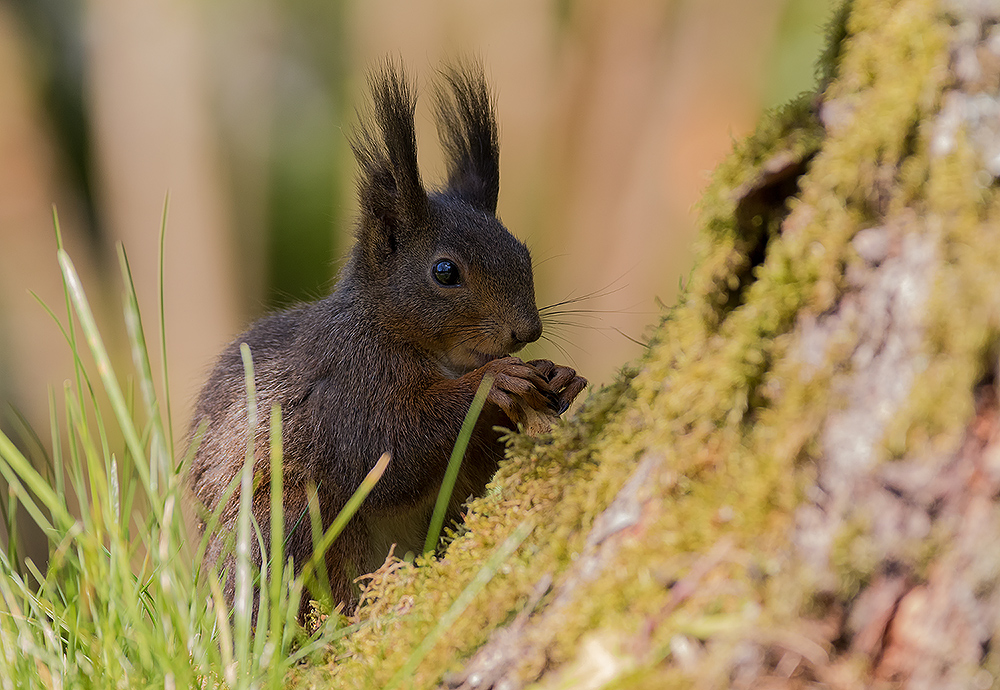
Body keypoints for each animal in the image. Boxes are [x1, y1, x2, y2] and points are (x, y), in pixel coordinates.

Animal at [188, 57, 584, 608]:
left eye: (522, 251)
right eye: (445, 271)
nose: (527, 330)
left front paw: (559, 376)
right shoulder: (345, 388)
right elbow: (386, 450)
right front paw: (491, 383)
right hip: (281, 520)